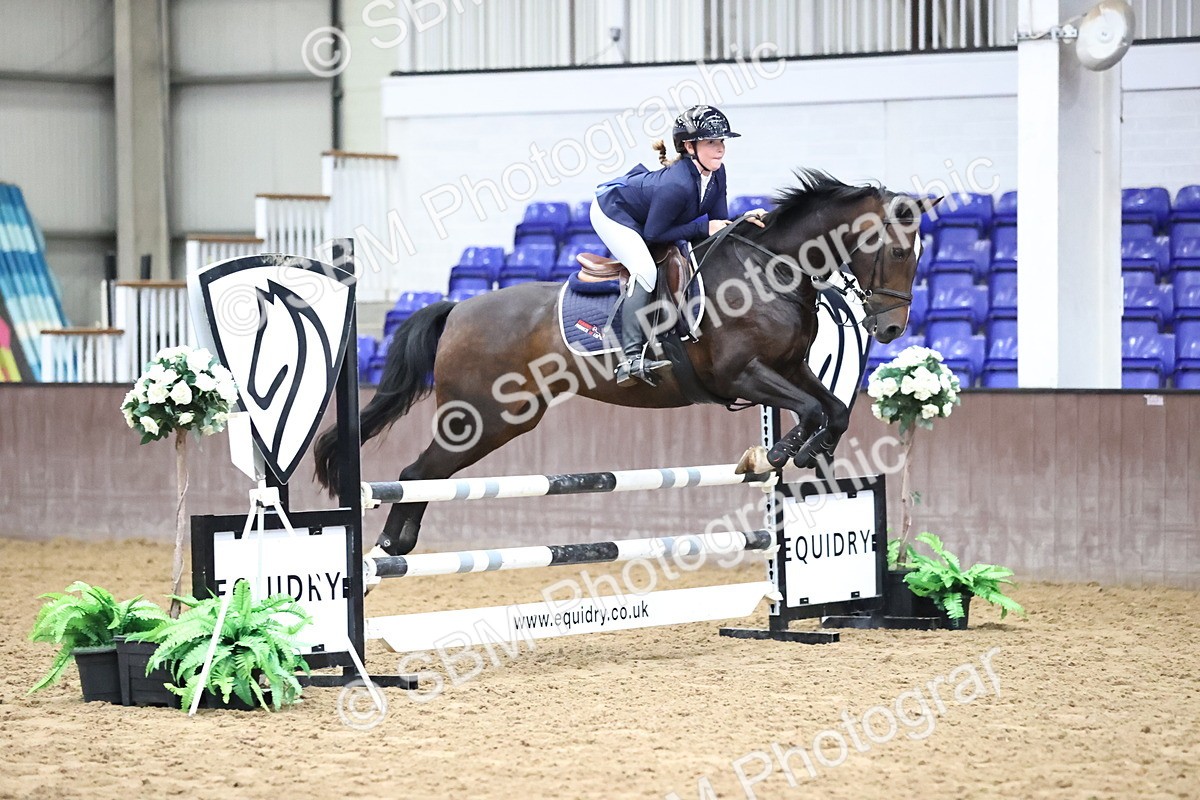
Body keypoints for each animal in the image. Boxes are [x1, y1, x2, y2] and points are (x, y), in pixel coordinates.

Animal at [315, 170, 940, 555]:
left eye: (920, 254)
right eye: (898, 250)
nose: (890, 329)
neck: (771, 268)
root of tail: (459, 308)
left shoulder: (788, 369)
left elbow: (833, 409)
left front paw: (805, 452)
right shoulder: (742, 374)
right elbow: (811, 410)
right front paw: (770, 455)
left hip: (501, 420)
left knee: (426, 476)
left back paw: (395, 546)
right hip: (482, 418)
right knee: (413, 474)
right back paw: (389, 548)